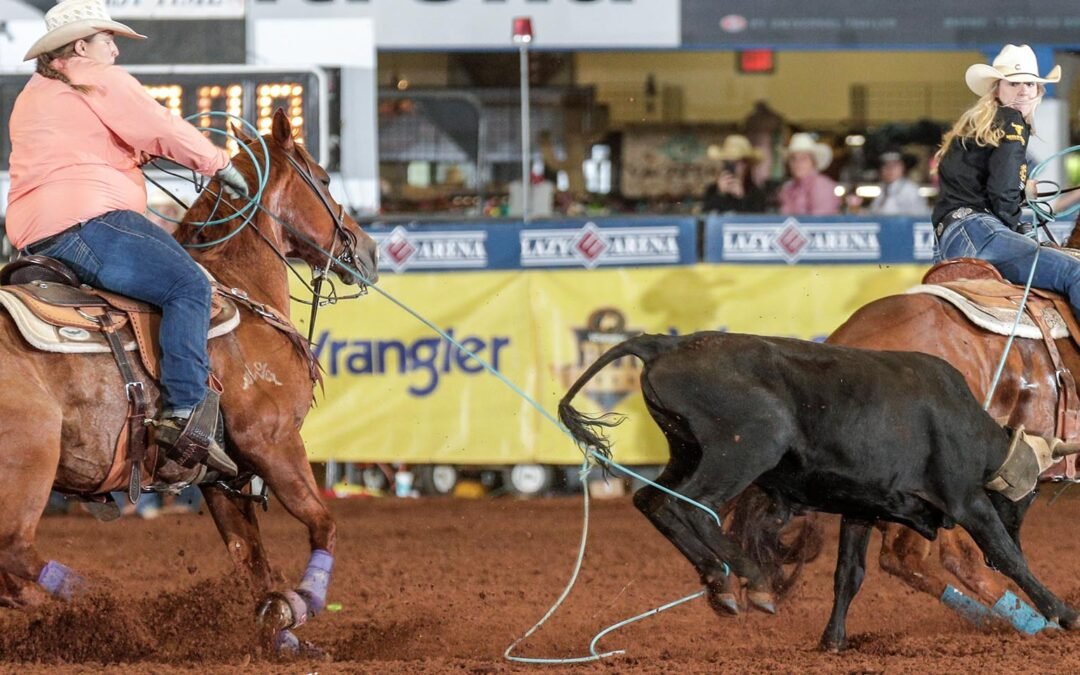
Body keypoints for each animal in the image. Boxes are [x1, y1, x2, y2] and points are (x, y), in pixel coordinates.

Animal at [0, 109, 379, 655]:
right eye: (325, 180)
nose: (367, 249)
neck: (243, 294)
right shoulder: (274, 442)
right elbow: (322, 524)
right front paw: (300, 602)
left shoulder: (225, 477)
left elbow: (253, 564)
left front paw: (278, 632)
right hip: (29, 459)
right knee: (15, 554)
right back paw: (114, 613)